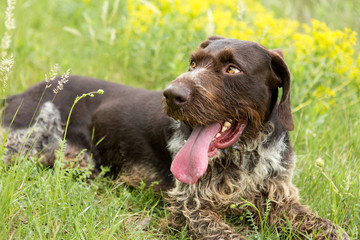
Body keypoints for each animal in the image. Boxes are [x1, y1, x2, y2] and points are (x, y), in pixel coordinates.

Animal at [0, 36, 348, 239]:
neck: (243, 157)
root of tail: (20, 94)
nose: (171, 94)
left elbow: (330, 228)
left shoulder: (282, 199)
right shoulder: (190, 207)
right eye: (193, 63)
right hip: (56, 152)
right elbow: (227, 233)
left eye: (232, 69)